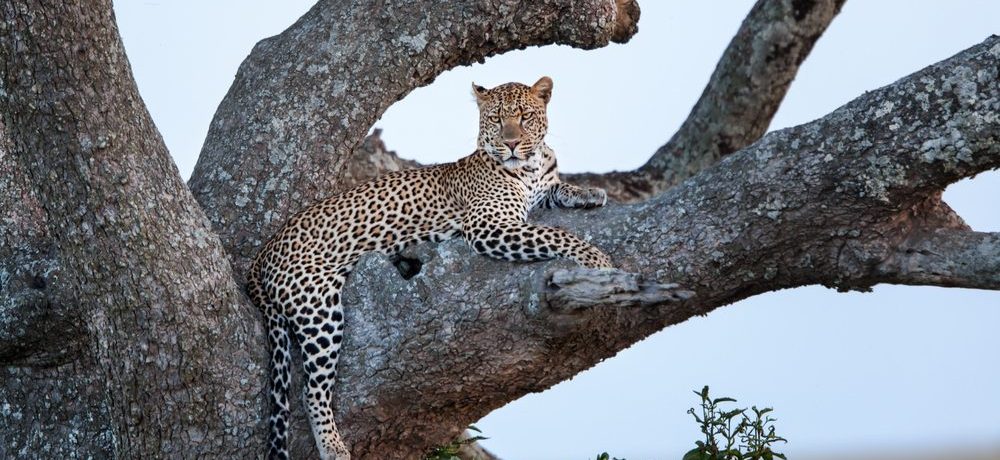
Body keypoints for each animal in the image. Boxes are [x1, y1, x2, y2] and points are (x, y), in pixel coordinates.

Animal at [246, 76, 612, 460]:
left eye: (525, 117)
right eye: (496, 119)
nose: (511, 144)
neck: (530, 167)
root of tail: (264, 254)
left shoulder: (538, 190)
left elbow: (557, 190)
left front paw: (589, 192)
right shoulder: (488, 227)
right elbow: (553, 233)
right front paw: (596, 259)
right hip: (318, 309)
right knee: (311, 390)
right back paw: (333, 445)